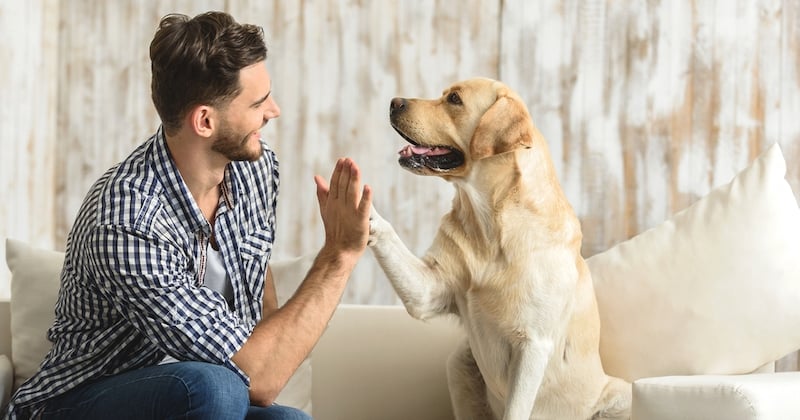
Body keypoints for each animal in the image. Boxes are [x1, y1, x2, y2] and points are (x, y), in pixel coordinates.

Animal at [368, 79, 632, 420]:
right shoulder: (428, 291)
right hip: (460, 362)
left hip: (620, 395)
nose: (393, 102)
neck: (490, 225)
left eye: (454, 99)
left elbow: (516, 410)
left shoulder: (533, 344)